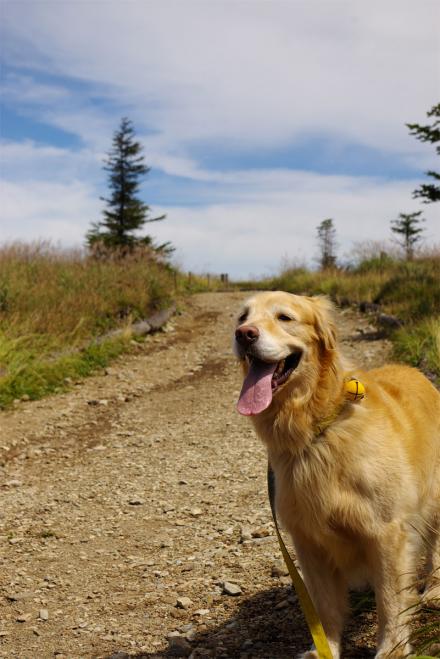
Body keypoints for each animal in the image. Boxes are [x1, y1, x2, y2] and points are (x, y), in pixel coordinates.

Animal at [234, 292, 440, 656]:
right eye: (243, 317)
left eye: (284, 317)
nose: (244, 334)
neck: (315, 431)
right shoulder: (308, 540)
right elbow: (324, 606)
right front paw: (325, 647)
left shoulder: (387, 532)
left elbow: (390, 600)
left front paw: (392, 648)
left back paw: (433, 590)